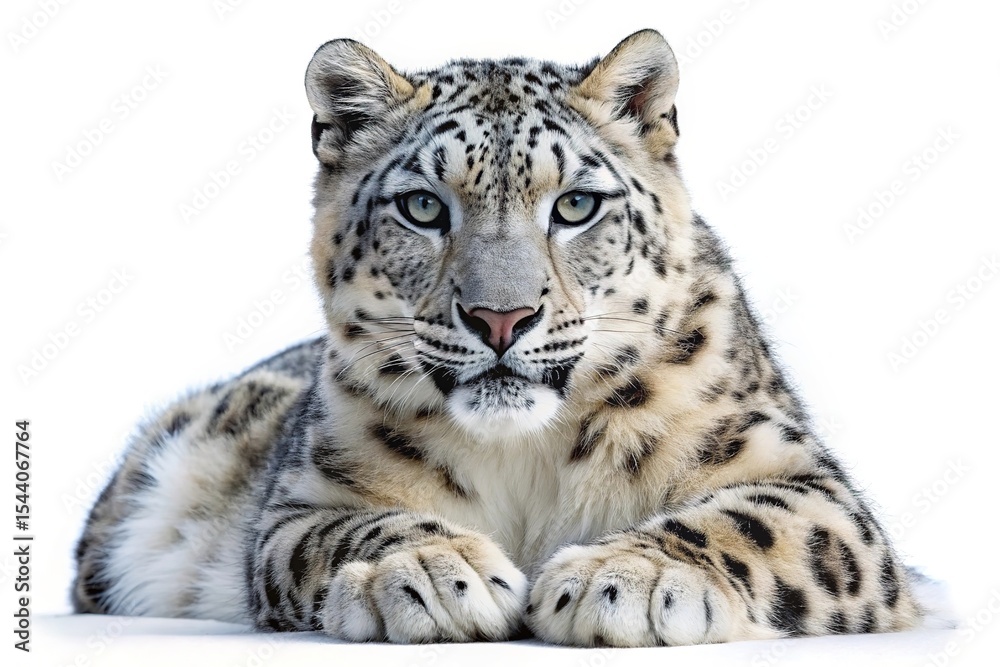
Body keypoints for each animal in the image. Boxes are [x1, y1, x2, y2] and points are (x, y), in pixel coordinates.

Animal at [73, 29, 933, 646]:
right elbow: (350, 527)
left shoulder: (806, 480)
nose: (500, 318)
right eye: (423, 206)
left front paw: (624, 576)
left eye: (577, 203)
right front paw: (433, 568)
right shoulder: (304, 499)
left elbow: (749, 519)